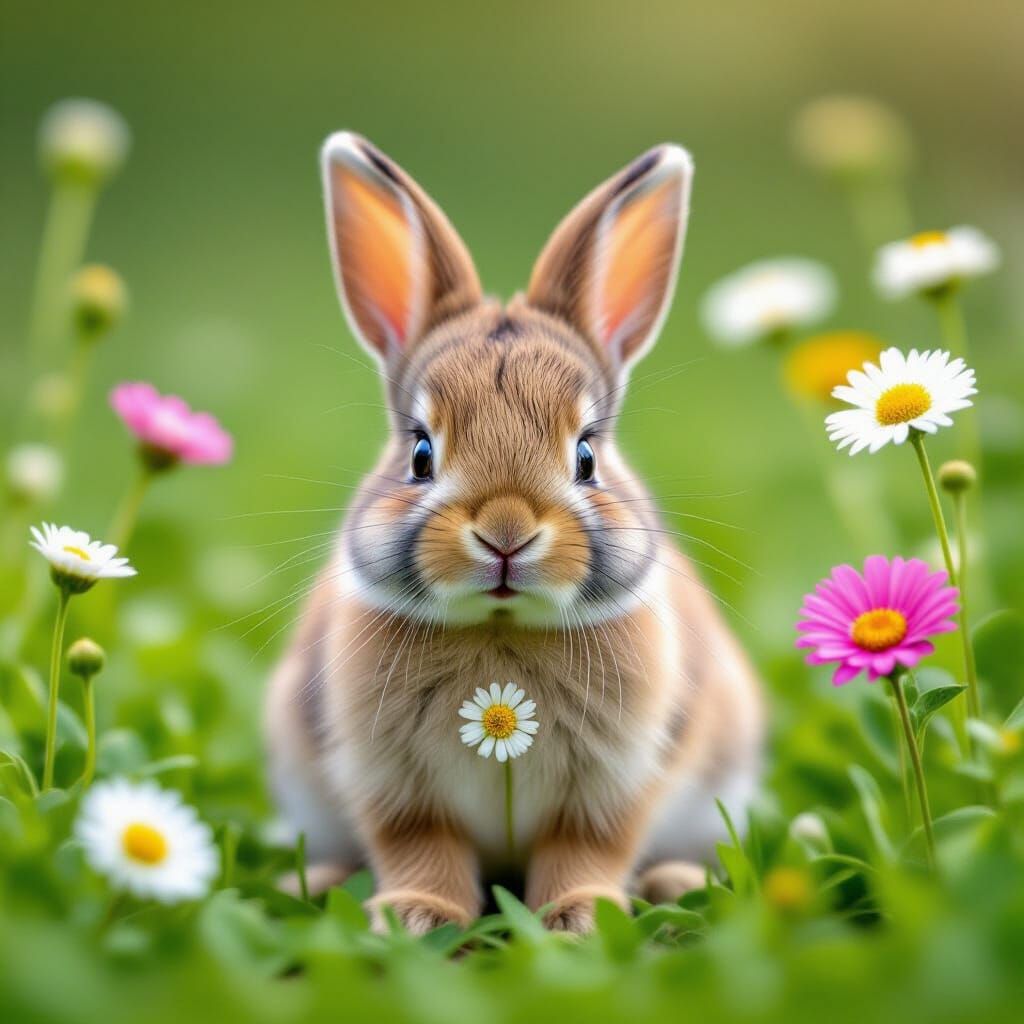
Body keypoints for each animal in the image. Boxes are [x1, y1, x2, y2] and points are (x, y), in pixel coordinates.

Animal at [265, 132, 764, 935]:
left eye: (587, 456)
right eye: (420, 453)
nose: (506, 532)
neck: (499, 630)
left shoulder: (611, 787)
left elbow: (585, 850)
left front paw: (579, 918)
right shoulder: (395, 789)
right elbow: (421, 849)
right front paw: (418, 916)